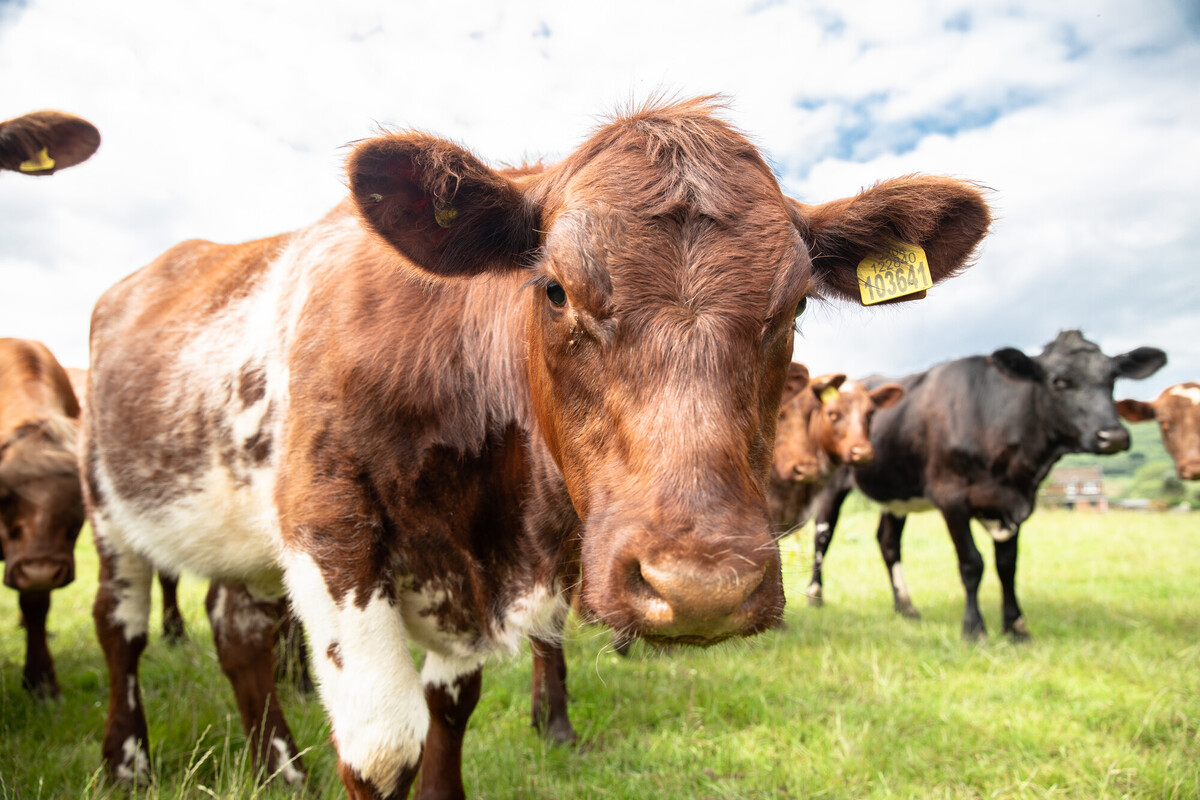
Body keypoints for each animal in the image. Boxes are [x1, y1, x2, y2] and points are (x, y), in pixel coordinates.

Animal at [84, 97, 993, 796]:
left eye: (797, 304)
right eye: (555, 290)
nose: (700, 589)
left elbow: (450, 710)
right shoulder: (329, 531)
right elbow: (384, 748)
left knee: (237, 630)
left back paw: (278, 768)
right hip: (109, 506)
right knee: (121, 626)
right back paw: (129, 762)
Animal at [806, 331, 1161, 638]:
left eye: (1112, 379)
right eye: (1058, 381)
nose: (1113, 436)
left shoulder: (1011, 502)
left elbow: (1007, 566)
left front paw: (1016, 628)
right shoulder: (951, 497)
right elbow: (972, 563)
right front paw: (974, 629)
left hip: (897, 491)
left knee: (888, 543)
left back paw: (906, 607)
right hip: (833, 484)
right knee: (823, 535)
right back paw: (816, 596)